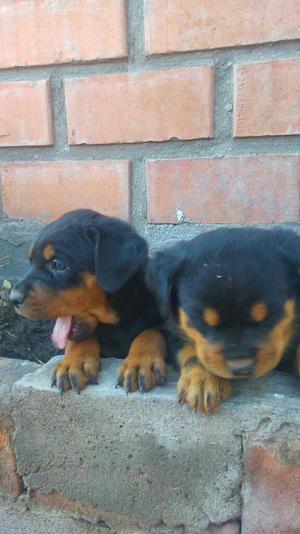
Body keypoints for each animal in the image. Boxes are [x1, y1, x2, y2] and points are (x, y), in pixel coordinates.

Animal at [9, 211, 168, 396]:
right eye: (31, 262)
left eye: (58, 264)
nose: (12, 298)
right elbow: (79, 339)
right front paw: (73, 362)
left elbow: (151, 333)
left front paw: (141, 362)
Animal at [146, 226, 300, 414]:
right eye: (201, 321)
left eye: (270, 315)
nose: (241, 369)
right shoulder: (174, 330)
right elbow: (194, 352)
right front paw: (203, 379)